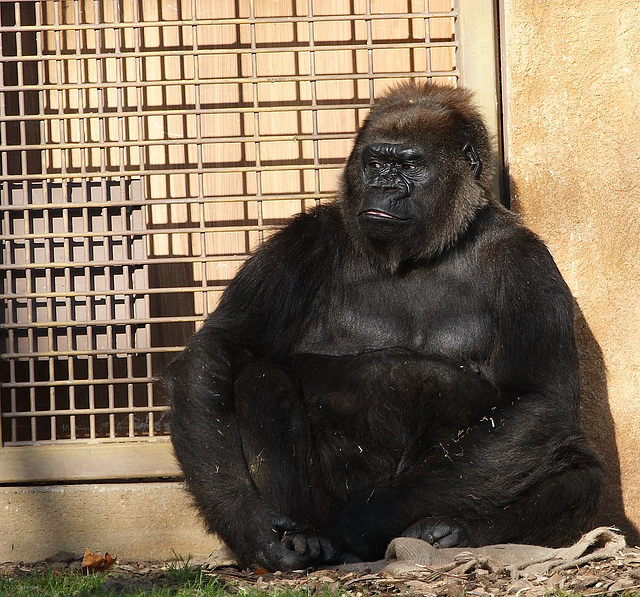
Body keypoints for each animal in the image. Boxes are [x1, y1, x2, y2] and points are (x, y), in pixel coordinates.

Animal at [164, 81, 600, 572]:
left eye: (410, 165)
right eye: (375, 163)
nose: (383, 187)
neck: (430, 247)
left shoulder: (528, 262)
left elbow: (541, 400)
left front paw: (370, 517)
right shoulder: (304, 242)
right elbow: (222, 346)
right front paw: (248, 522)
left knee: (578, 476)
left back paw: (449, 533)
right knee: (260, 378)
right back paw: (307, 538)